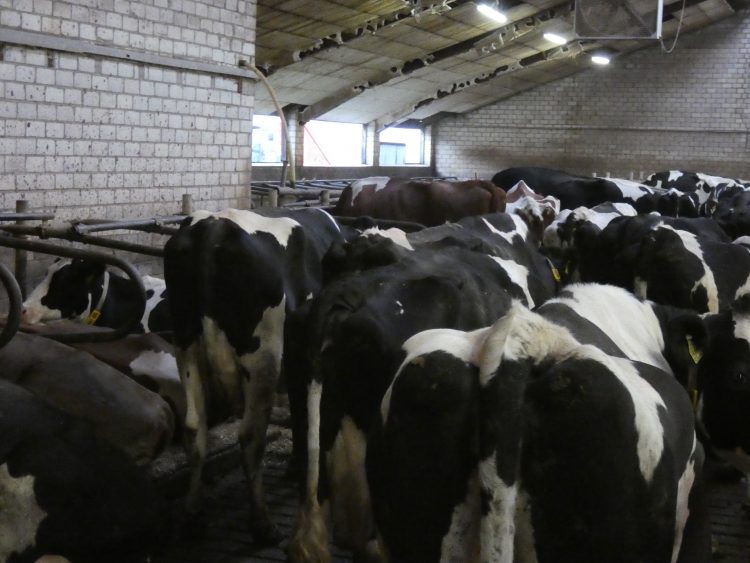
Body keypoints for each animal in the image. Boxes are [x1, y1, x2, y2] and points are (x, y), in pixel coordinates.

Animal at [163, 207, 344, 545]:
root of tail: (215, 226)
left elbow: (299, 414)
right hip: (263, 355)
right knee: (251, 435)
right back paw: (262, 523)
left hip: (185, 342)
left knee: (194, 427)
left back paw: (192, 516)